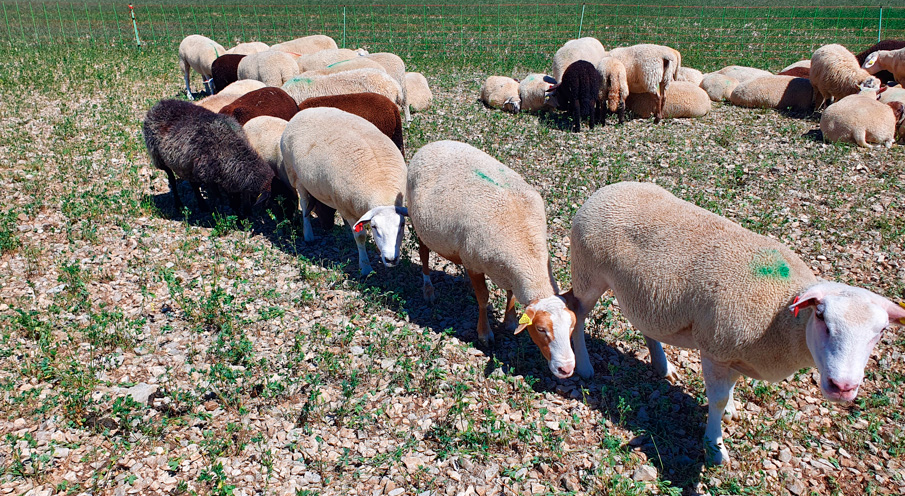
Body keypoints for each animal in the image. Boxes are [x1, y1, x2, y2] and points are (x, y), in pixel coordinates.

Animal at [142, 100, 272, 216]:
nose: (249, 214)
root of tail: (158, 104)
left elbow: (233, 199)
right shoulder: (209, 178)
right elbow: (220, 199)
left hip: (186, 165)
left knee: (193, 184)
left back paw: (202, 205)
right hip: (158, 158)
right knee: (172, 179)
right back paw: (179, 205)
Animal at [278, 107, 406, 276]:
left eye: (402, 225)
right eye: (374, 227)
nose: (391, 259)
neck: (381, 189)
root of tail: (303, 111)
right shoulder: (349, 210)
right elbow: (360, 236)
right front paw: (365, 267)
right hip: (296, 176)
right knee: (304, 205)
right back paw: (308, 234)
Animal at [404, 139, 580, 376]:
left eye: (572, 325)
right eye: (541, 329)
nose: (567, 369)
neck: (525, 245)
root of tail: (431, 145)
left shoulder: (508, 270)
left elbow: (511, 295)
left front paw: (510, 320)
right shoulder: (473, 263)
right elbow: (483, 298)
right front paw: (484, 333)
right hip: (420, 224)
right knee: (423, 256)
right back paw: (428, 289)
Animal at [568, 181, 904, 464]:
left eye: (881, 332)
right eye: (821, 316)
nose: (843, 387)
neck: (781, 316)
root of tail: (606, 190)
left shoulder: (736, 352)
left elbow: (729, 390)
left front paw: (729, 411)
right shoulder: (716, 349)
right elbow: (716, 400)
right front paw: (715, 447)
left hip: (643, 293)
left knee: (645, 325)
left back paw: (662, 365)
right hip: (588, 273)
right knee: (577, 313)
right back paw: (584, 366)